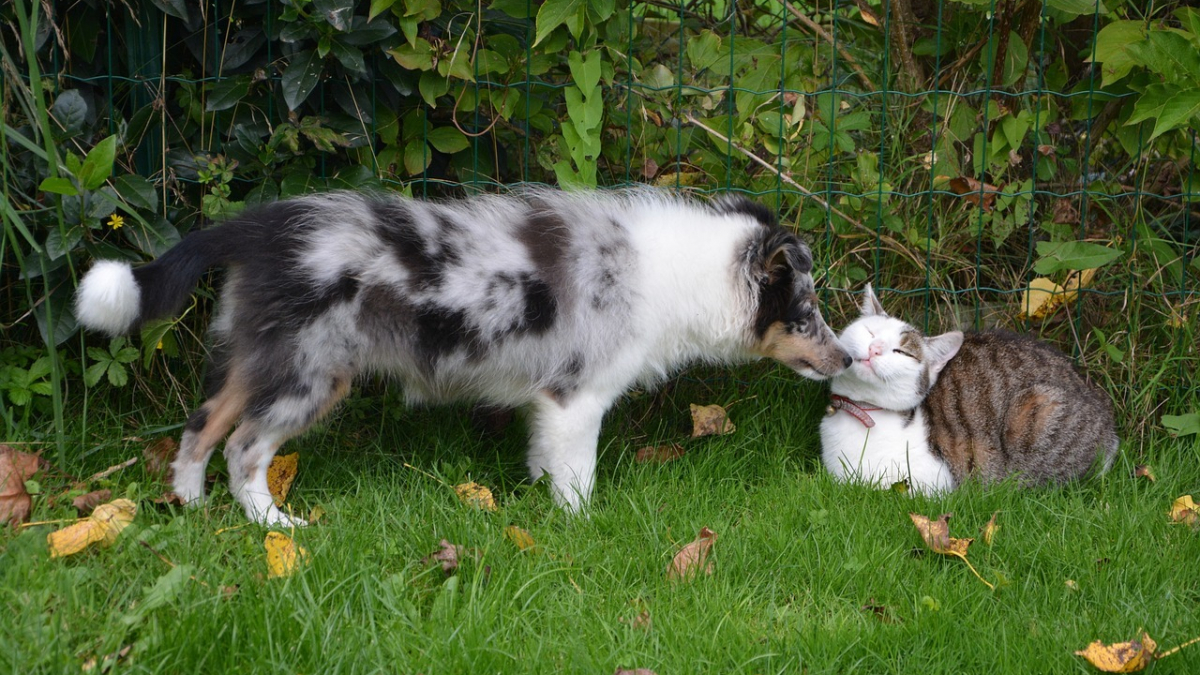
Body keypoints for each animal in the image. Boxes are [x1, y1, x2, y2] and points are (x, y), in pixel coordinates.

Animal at [75, 186, 849, 523]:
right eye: (807, 314)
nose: (844, 361)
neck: (675, 273)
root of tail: (257, 229)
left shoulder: (550, 402)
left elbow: (544, 457)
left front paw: (537, 493)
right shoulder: (579, 398)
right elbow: (579, 475)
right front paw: (581, 528)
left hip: (253, 355)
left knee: (201, 424)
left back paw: (190, 503)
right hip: (311, 373)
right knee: (243, 447)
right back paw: (276, 527)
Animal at [820, 283, 1118, 494]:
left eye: (901, 352)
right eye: (869, 332)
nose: (875, 348)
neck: (861, 410)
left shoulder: (929, 483)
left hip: (1038, 409)